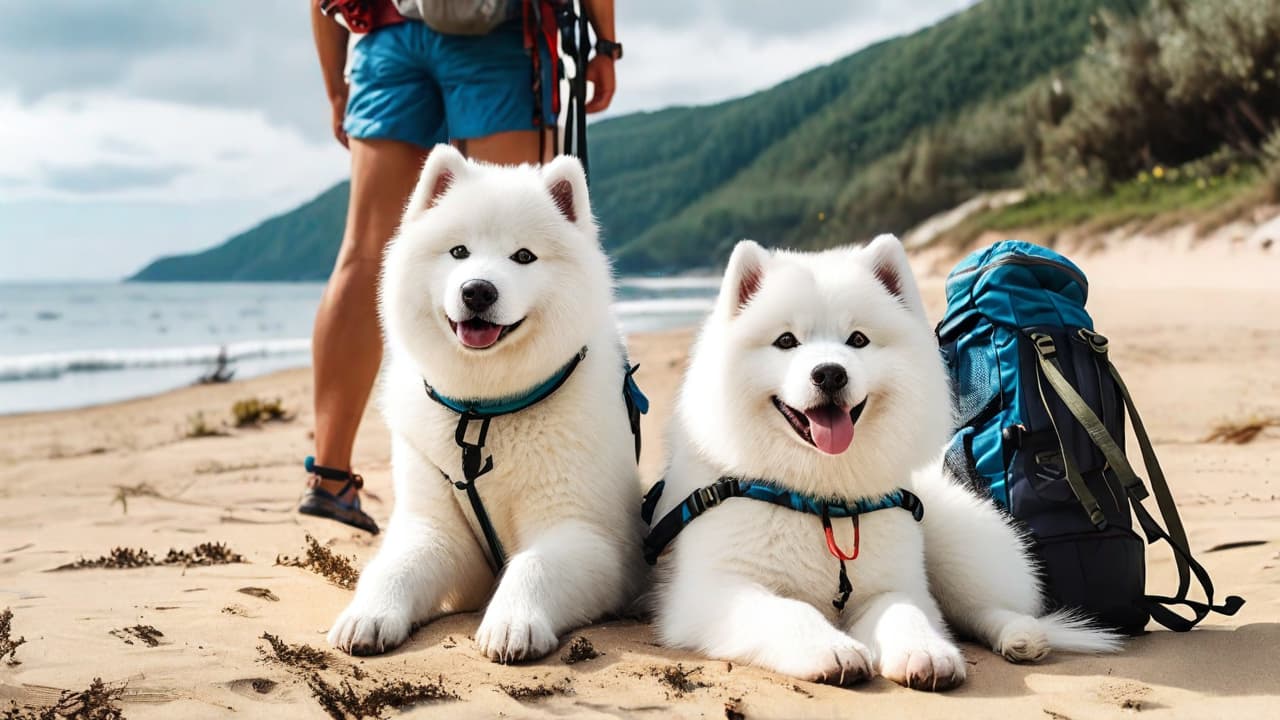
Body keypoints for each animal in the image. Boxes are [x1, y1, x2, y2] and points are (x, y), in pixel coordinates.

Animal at [330, 142, 645, 661]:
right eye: (459, 251)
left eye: (524, 256)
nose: (477, 290)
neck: (485, 411)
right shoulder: (438, 529)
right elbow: (395, 566)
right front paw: (368, 615)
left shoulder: (588, 536)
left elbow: (533, 565)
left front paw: (514, 622)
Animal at [645, 237, 1116, 691]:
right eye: (786, 341)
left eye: (857, 340)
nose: (830, 373)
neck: (822, 499)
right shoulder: (716, 589)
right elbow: (787, 610)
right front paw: (831, 649)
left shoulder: (889, 585)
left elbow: (906, 611)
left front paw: (925, 651)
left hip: (957, 544)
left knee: (980, 607)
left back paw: (1019, 635)